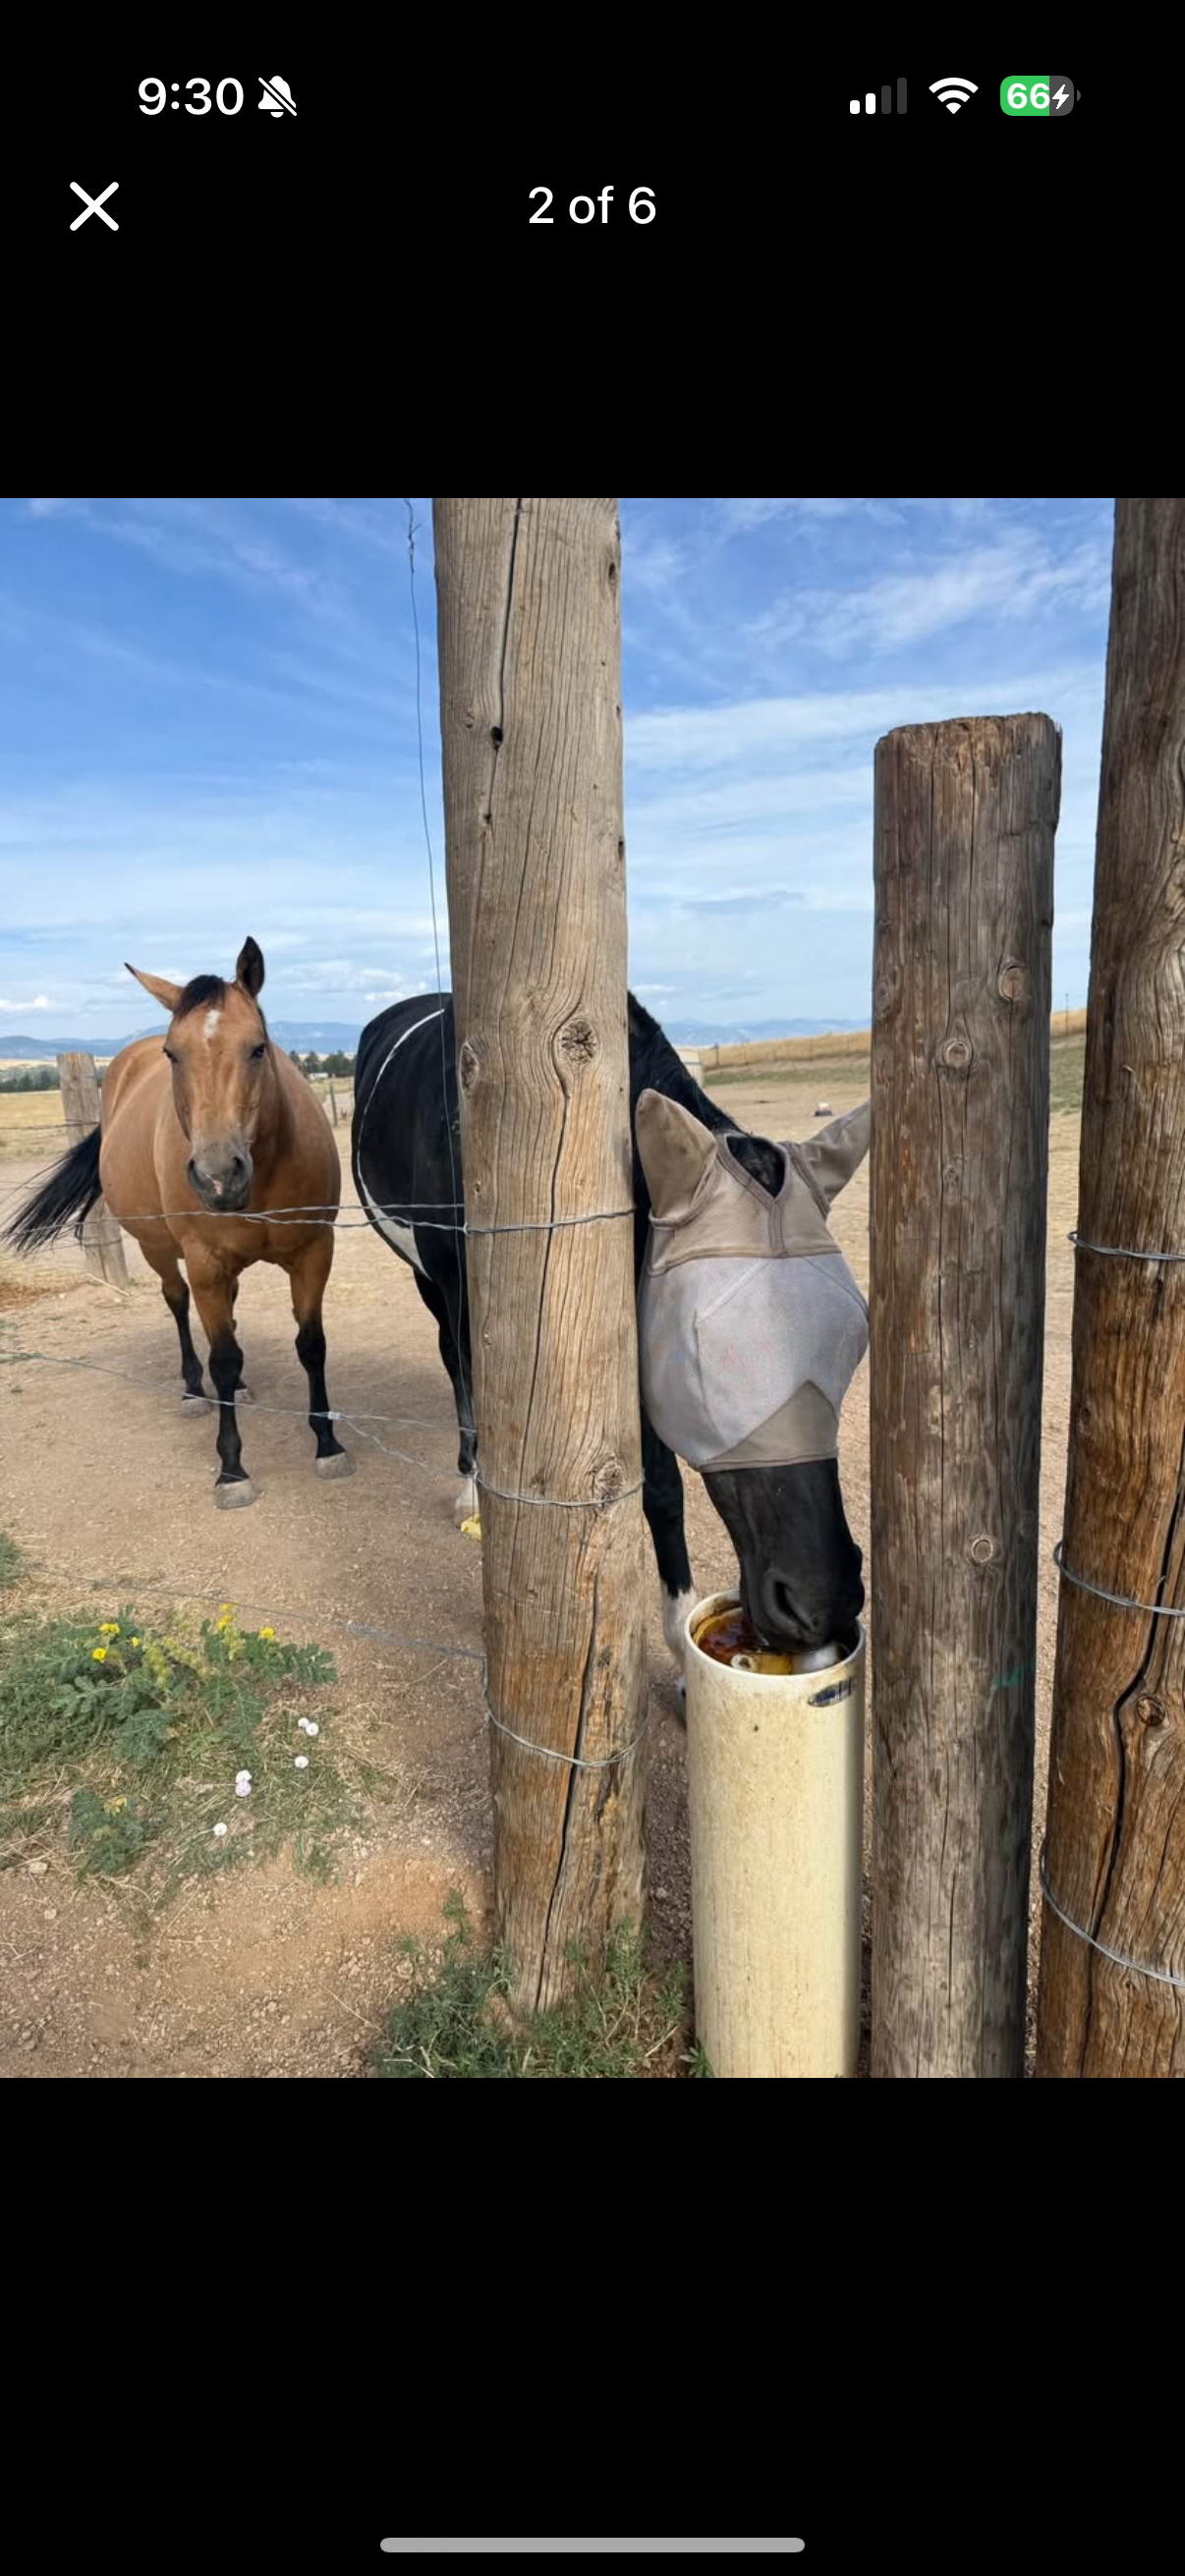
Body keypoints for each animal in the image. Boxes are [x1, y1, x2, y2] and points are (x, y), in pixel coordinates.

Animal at [4, 938, 351, 1508]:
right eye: (173, 1054)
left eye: (258, 1048)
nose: (217, 1176)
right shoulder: (205, 1263)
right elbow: (222, 1359)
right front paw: (231, 1469)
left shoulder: (313, 1253)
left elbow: (312, 1346)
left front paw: (327, 1442)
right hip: (161, 1252)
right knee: (179, 1305)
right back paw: (193, 1390)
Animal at [351, 990, 869, 1673]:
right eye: (702, 1355)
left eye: (854, 1341)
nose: (823, 1600)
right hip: (428, 1281)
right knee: (454, 1365)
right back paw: (468, 1484)